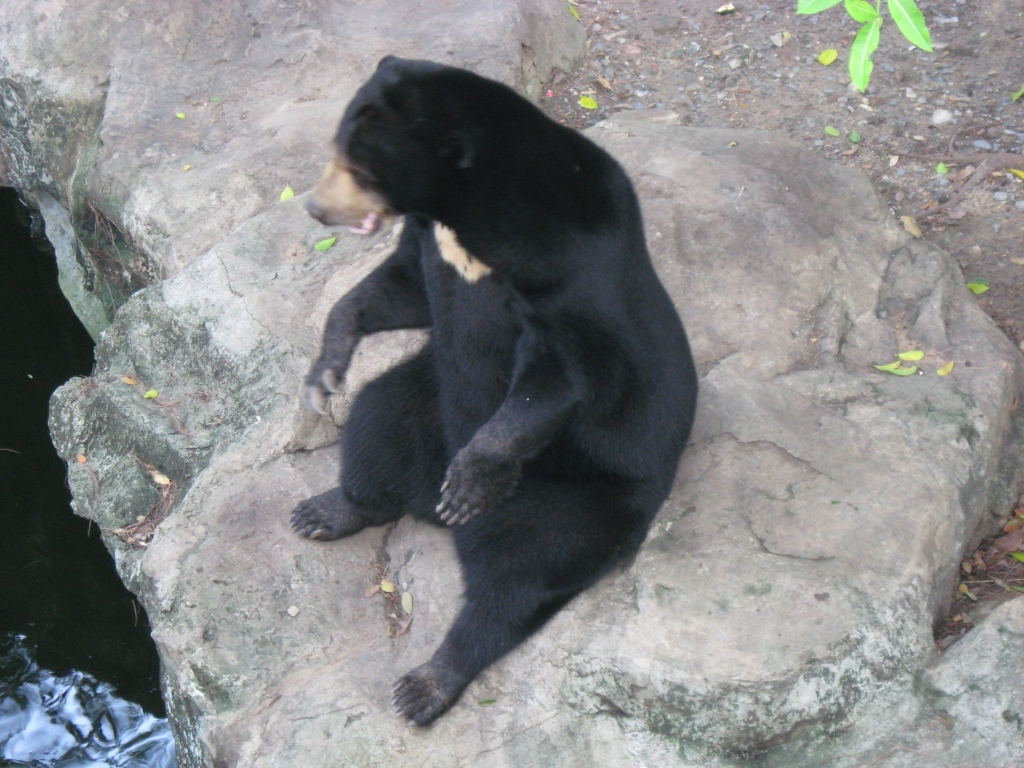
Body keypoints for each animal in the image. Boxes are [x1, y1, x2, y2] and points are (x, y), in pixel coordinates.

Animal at [291, 56, 697, 726]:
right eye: (335, 151)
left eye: (362, 169)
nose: (316, 210)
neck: (468, 212)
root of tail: (426, 511)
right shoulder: (430, 242)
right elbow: (399, 286)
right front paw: (325, 369)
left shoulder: (572, 266)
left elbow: (564, 373)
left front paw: (471, 480)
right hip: (427, 402)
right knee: (380, 425)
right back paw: (327, 509)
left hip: (582, 496)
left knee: (516, 579)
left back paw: (427, 680)